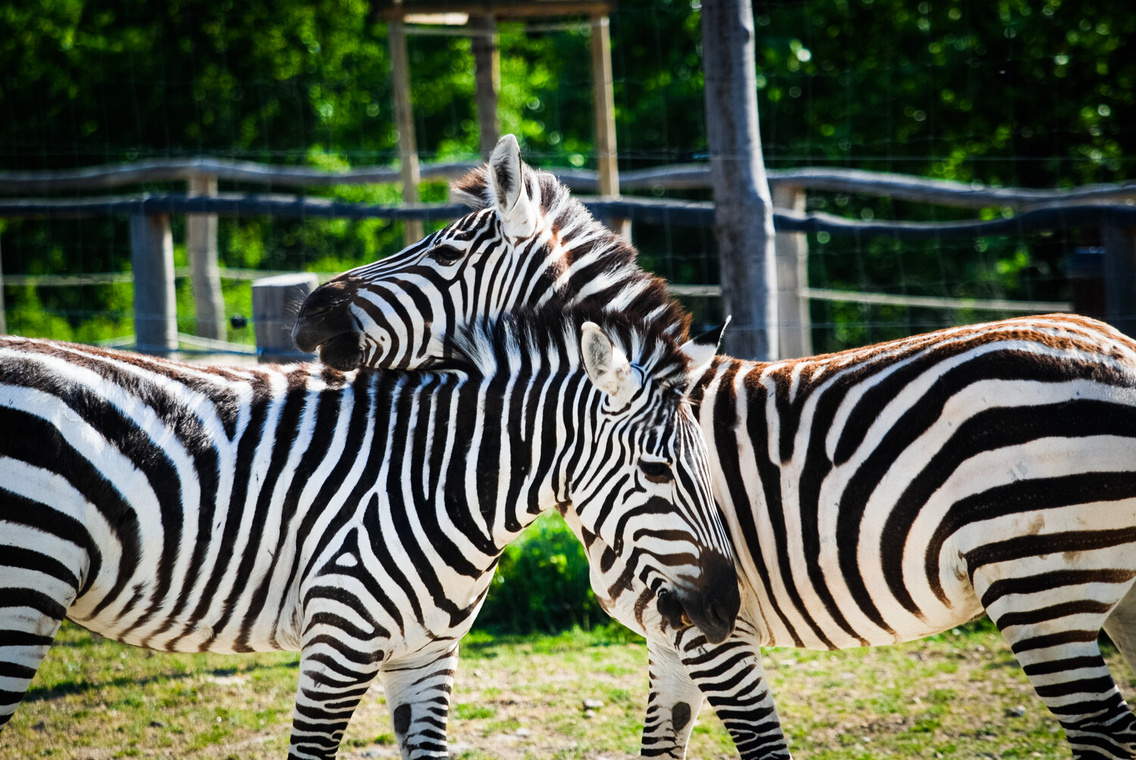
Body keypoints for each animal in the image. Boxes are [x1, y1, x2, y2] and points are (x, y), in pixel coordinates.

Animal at [0, 304, 740, 758]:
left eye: (708, 460)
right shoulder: (339, 643)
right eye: (655, 469)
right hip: (23, 588)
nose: (726, 606)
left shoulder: (427, 655)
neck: (436, 479)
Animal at [293, 133, 1136, 754]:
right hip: (1106, 590)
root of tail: (1114, 345)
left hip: (1039, 583)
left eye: (440, 253)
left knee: (1100, 731)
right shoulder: (674, 630)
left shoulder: (713, 631)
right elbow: (660, 746)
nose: (307, 310)